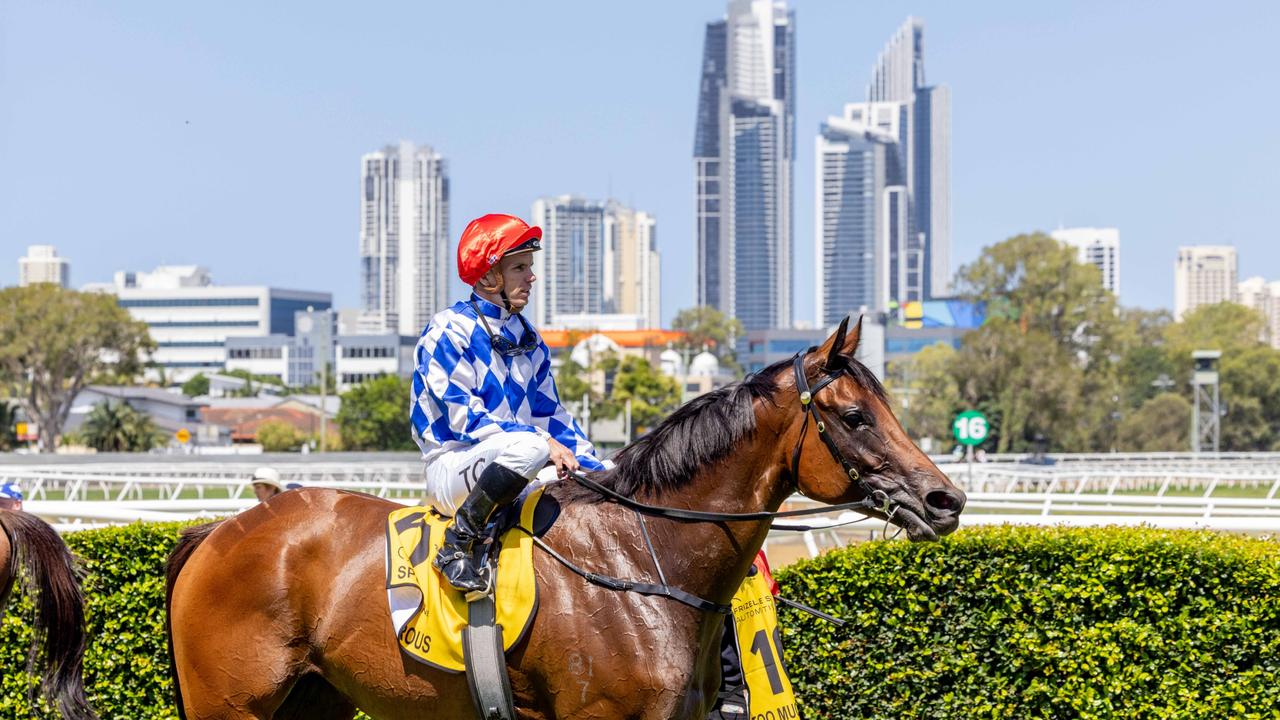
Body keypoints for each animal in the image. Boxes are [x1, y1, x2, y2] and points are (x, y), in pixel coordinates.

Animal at [167, 316, 962, 712]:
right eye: (856, 416)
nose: (945, 500)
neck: (646, 558)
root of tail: (218, 531)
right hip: (230, 706)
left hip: (315, 700)